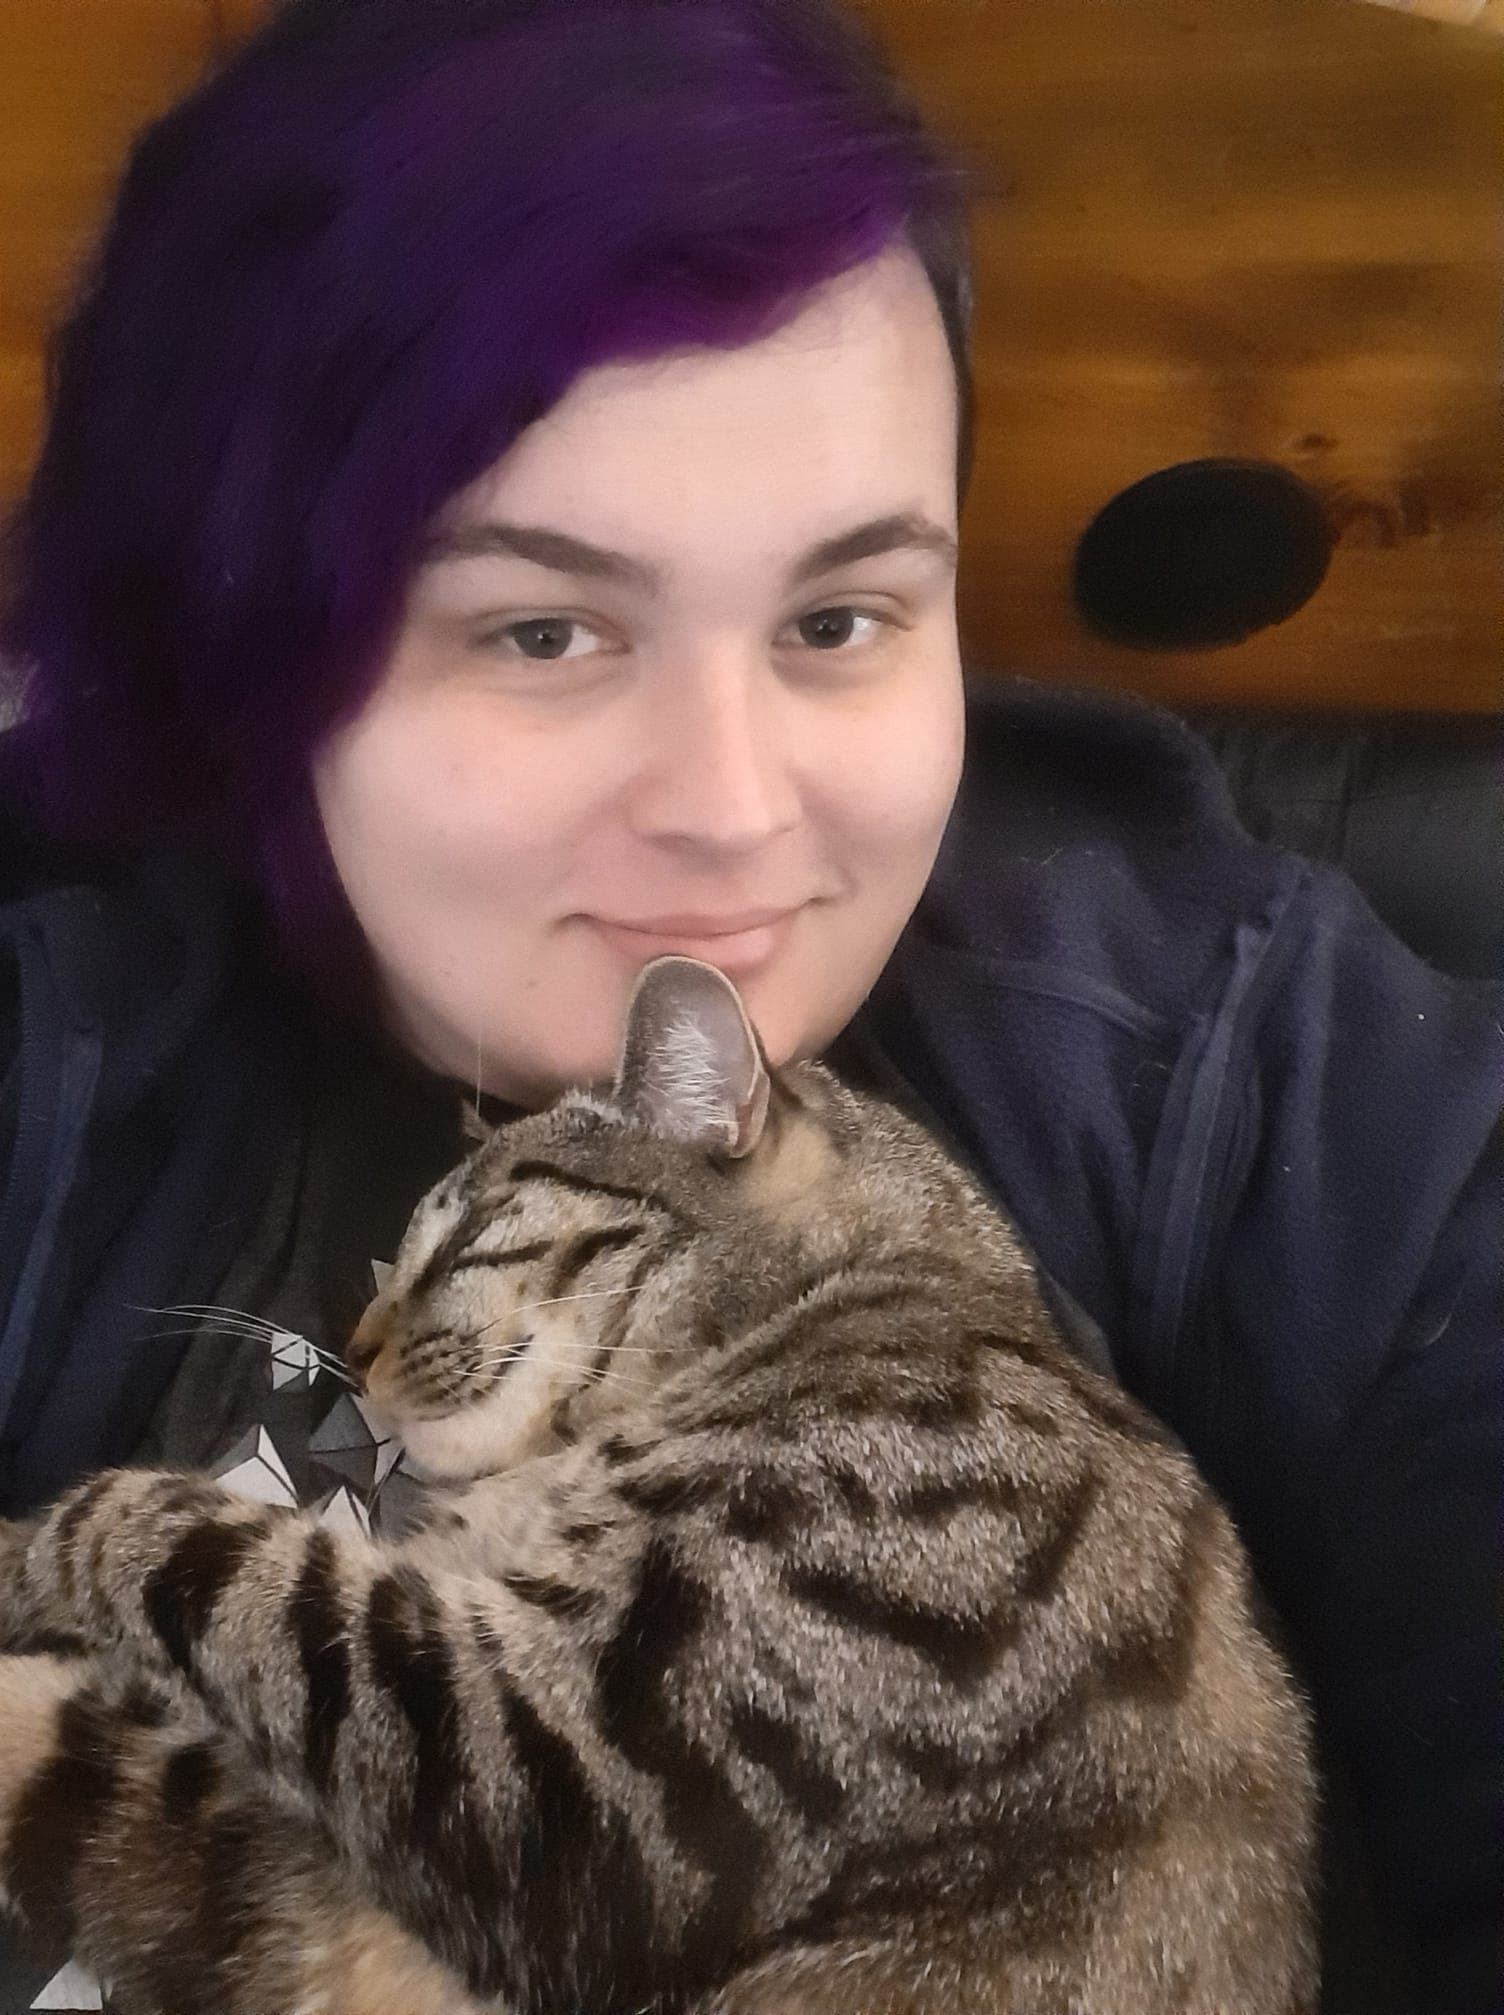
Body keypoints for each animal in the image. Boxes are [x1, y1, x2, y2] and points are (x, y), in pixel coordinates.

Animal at [0, 951, 1314, 2006]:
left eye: (461, 1237)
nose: (355, 1347)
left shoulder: (566, 1782)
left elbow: (197, 1547)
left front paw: (29, 1548)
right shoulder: (290, 1885)